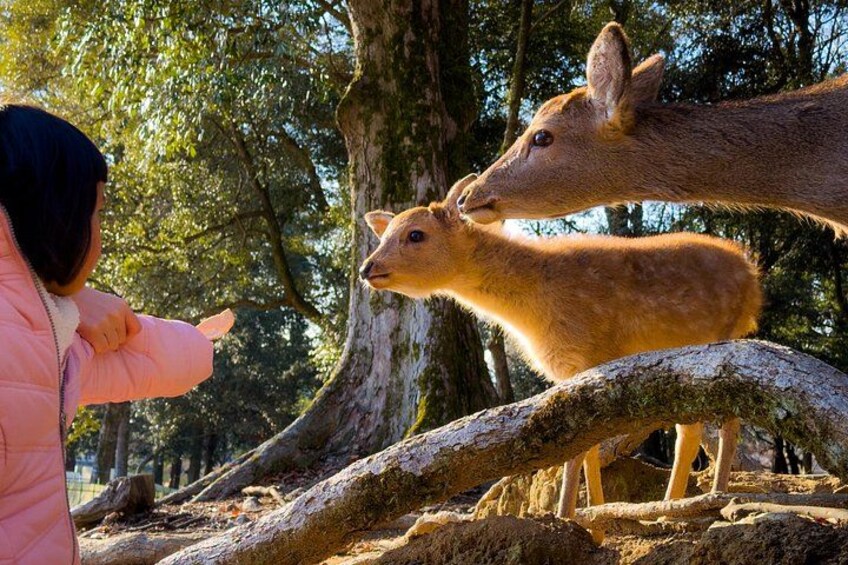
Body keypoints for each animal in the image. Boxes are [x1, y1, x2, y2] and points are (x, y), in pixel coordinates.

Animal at [360, 175, 762, 542]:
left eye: (416, 234)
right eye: (384, 234)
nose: (367, 268)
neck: (535, 308)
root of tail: (753, 279)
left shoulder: (588, 356)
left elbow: (576, 449)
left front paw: (568, 520)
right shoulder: (568, 371)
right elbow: (588, 448)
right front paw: (595, 523)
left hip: (721, 341)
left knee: (729, 422)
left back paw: (715, 502)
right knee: (690, 430)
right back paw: (667, 512)